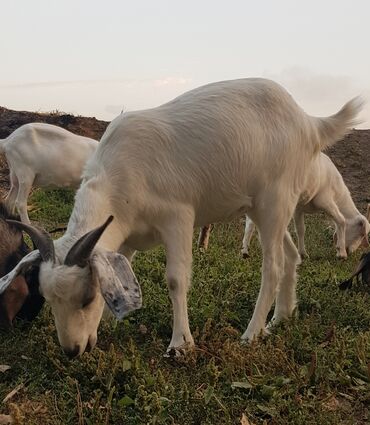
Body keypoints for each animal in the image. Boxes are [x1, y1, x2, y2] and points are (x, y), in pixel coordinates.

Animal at [0, 78, 362, 356]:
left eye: (87, 297)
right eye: (46, 298)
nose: (72, 351)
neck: (120, 174)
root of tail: (310, 122)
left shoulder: (178, 217)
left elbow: (176, 279)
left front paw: (180, 344)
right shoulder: (128, 236)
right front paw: (108, 329)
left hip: (275, 199)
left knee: (272, 266)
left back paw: (251, 334)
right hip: (265, 209)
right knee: (290, 256)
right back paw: (280, 318)